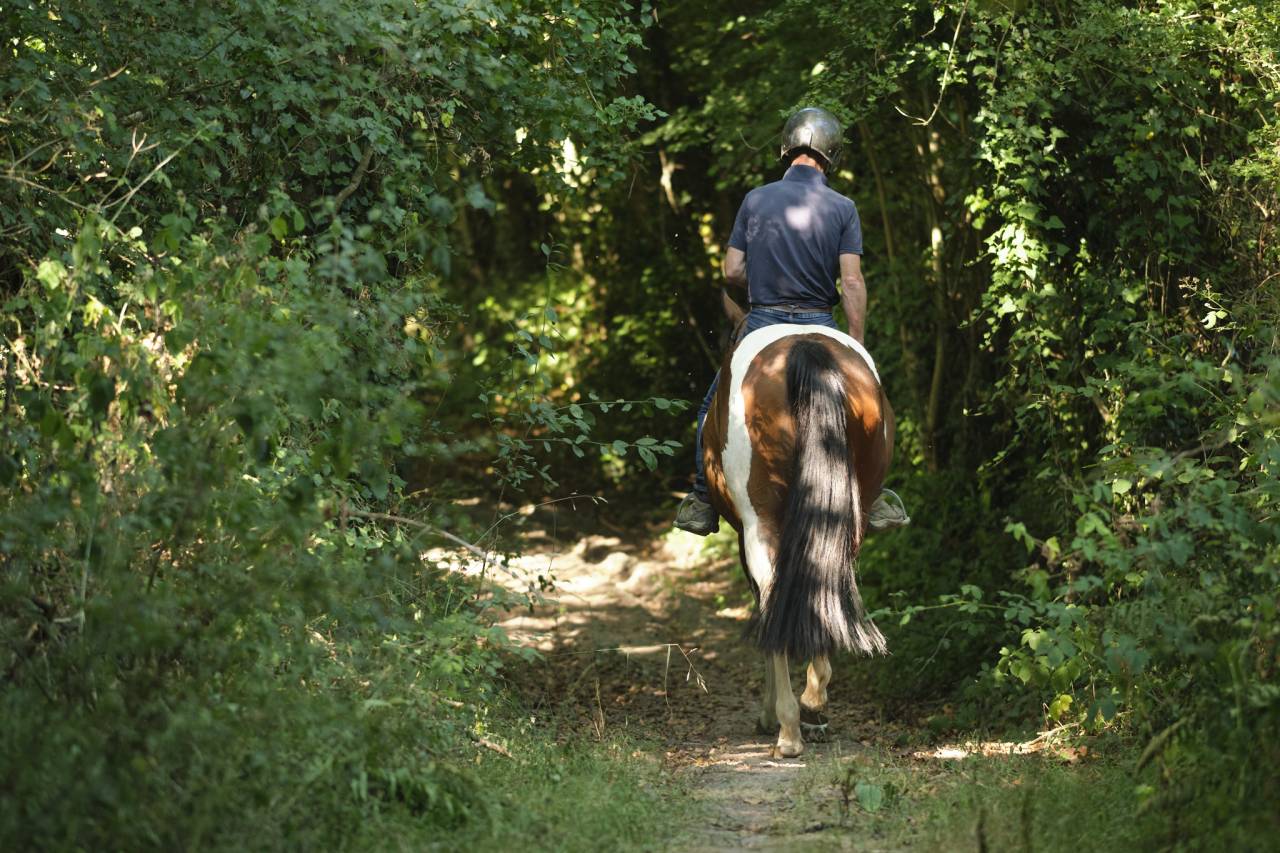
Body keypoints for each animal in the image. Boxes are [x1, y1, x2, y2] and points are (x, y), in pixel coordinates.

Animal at [701, 291, 893, 757]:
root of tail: (806, 348)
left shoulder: (746, 534)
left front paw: (770, 713)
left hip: (761, 522)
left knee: (775, 594)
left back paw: (788, 727)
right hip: (852, 513)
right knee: (825, 580)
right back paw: (814, 697)